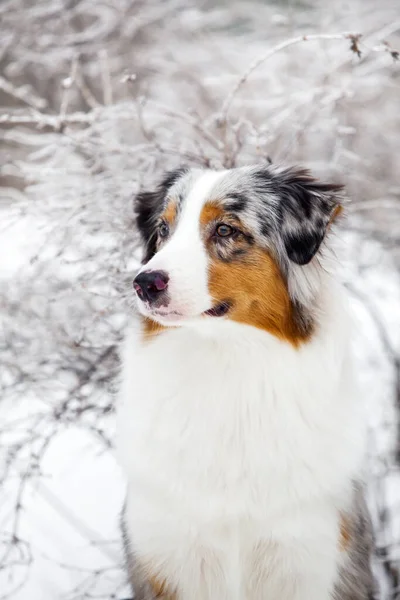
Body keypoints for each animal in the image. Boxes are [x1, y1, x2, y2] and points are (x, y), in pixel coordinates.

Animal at [117, 164, 374, 600]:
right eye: (164, 229)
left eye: (225, 230)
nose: (145, 282)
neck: (227, 359)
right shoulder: (168, 556)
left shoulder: (306, 555)